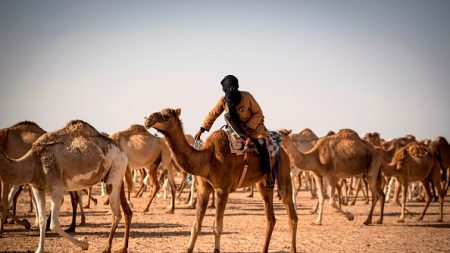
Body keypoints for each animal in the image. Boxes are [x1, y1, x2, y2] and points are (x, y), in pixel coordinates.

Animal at [0, 120, 132, 253]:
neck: (34, 161)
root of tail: (123, 153)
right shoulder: (37, 187)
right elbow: (42, 219)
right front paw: (39, 249)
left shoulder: (57, 188)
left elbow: (54, 224)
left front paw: (84, 244)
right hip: (114, 175)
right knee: (127, 211)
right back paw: (123, 247)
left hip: (116, 168)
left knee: (117, 214)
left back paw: (107, 247)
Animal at [145, 108, 298, 253]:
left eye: (166, 115)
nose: (148, 118)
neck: (208, 158)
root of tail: (282, 150)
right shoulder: (204, 189)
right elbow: (196, 225)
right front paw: (188, 249)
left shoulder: (222, 190)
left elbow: (217, 226)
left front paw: (216, 249)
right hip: (263, 183)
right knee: (270, 218)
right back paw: (263, 249)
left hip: (283, 172)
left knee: (291, 214)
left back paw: (292, 249)